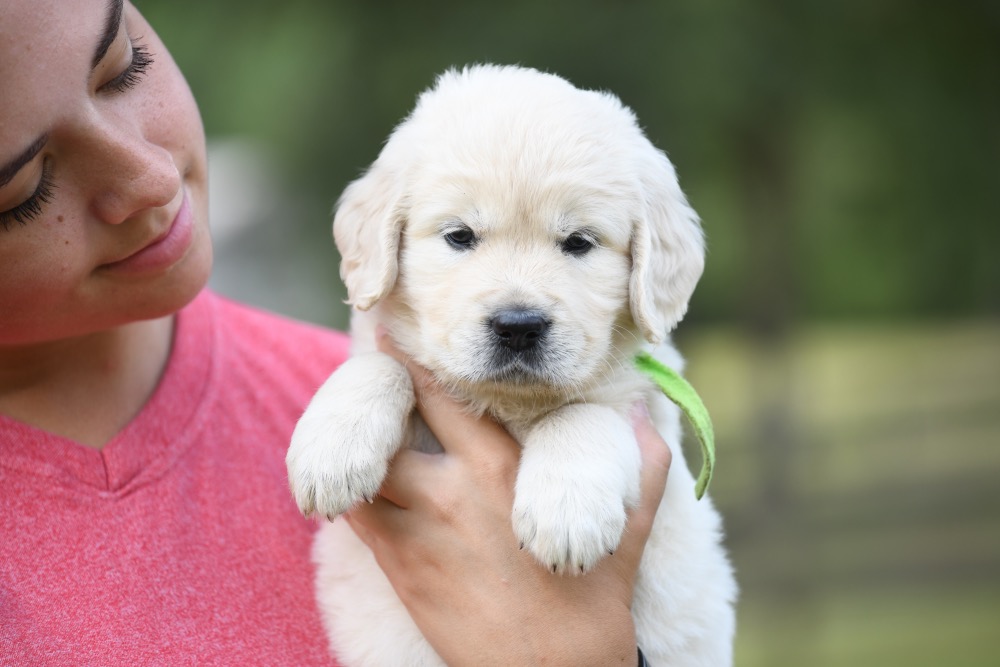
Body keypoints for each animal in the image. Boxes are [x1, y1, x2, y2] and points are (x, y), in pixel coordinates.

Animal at [286, 64, 740, 667]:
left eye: (579, 242)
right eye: (459, 236)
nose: (518, 326)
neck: (511, 405)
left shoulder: (643, 405)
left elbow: (582, 414)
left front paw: (564, 514)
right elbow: (381, 366)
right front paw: (330, 453)